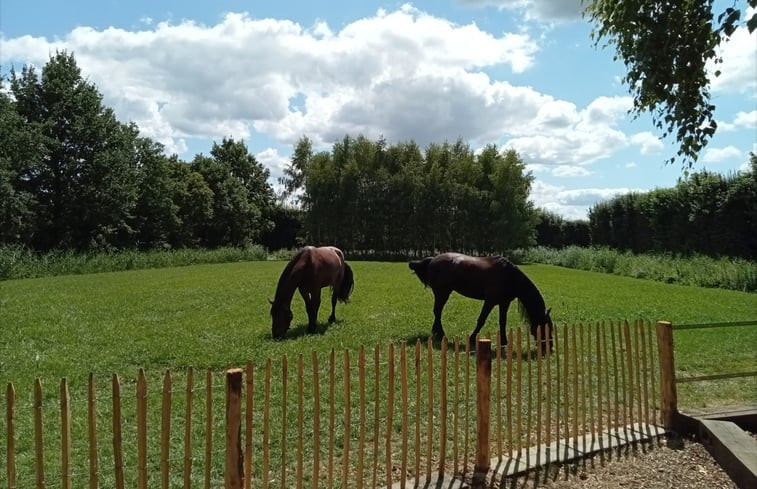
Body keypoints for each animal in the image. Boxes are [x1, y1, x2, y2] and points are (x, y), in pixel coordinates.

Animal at [410, 252, 552, 346]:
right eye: (545, 327)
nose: (549, 347)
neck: (508, 277)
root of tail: (433, 259)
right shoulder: (490, 301)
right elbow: (481, 320)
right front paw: (473, 339)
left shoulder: (504, 303)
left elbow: (502, 322)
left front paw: (504, 342)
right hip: (442, 293)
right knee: (437, 311)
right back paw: (441, 335)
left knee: (437, 312)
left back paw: (437, 334)